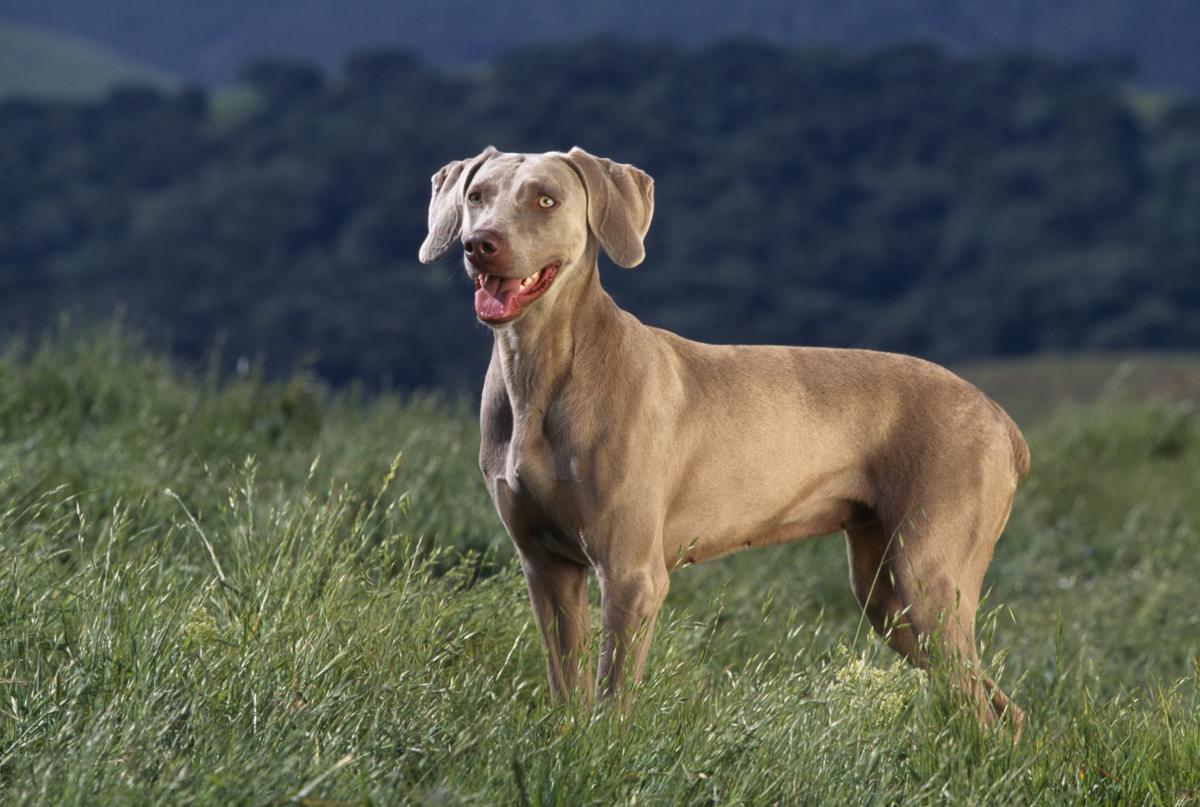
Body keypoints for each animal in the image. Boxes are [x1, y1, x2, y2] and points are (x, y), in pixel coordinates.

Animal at [417, 145, 1027, 730]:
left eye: (545, 200)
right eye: (476, 196)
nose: (479, 244)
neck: (540, 372)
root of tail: (1000, 417)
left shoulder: (632, 573)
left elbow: (613, 702)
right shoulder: (546, 568)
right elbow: (568, 689)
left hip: (928, 576)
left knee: (978, 705)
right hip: (884, 592)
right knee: (1000, 706)